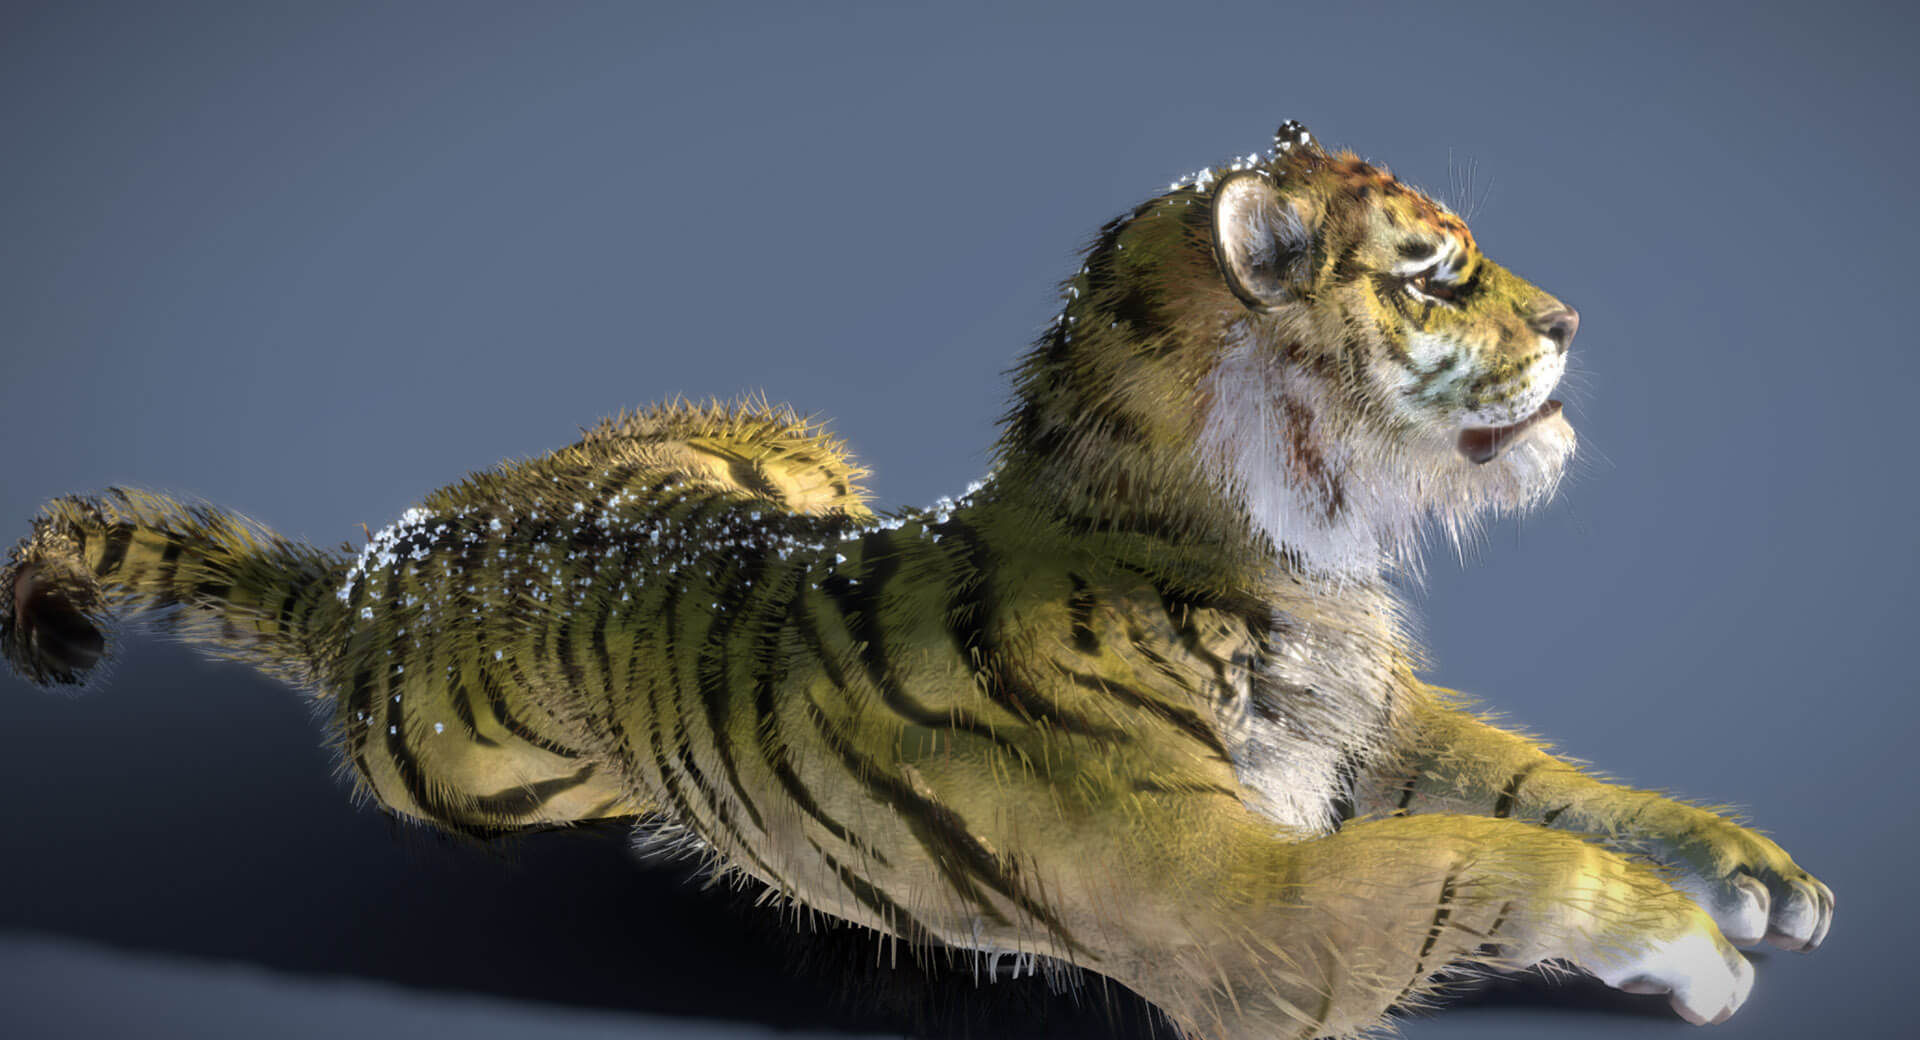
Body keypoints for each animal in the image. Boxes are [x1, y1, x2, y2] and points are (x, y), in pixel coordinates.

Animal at [1, 120, 1833, 1039]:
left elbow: (1532, 777)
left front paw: (1753, 873)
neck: (1273, 542)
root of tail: (381, 563)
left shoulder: (1359, 712)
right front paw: (1691, 948)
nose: (1575, 321)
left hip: (793, 446)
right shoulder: (1236, 904)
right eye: (1442, 275)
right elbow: (1479, 857)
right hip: (473, 779)